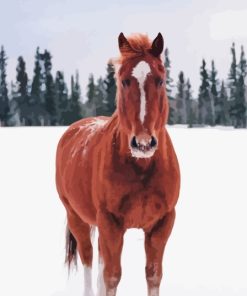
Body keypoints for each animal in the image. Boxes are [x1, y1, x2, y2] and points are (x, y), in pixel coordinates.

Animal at [55, 32, 179, 296]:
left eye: (161, 80)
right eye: (124, 81)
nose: (143, 143)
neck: (142, 168)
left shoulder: (162, 223)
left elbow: (153, 275)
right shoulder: (110, 223)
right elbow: (111, 276)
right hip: (77, 217)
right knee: (89, 259)